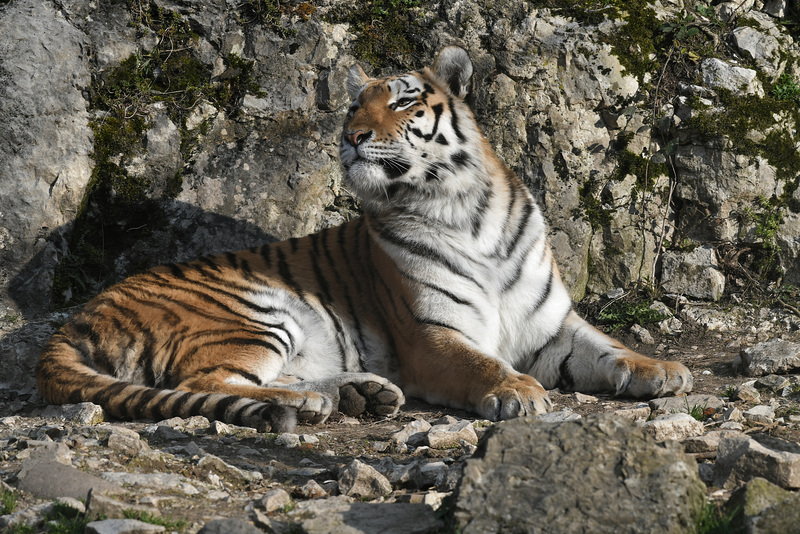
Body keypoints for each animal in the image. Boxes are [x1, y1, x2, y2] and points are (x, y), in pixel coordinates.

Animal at [34, 47, 692, 436]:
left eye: (402, 100)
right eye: (354, 105)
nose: (351, 137)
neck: (463, 210)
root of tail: (76, 320)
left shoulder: (550, 327)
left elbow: (610, 347)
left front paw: (663, 369)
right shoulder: (433, 335)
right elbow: (482, 363)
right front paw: (517, 392)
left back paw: (358, 395)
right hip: (249, 312)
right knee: (203, 383)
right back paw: (316, 405)